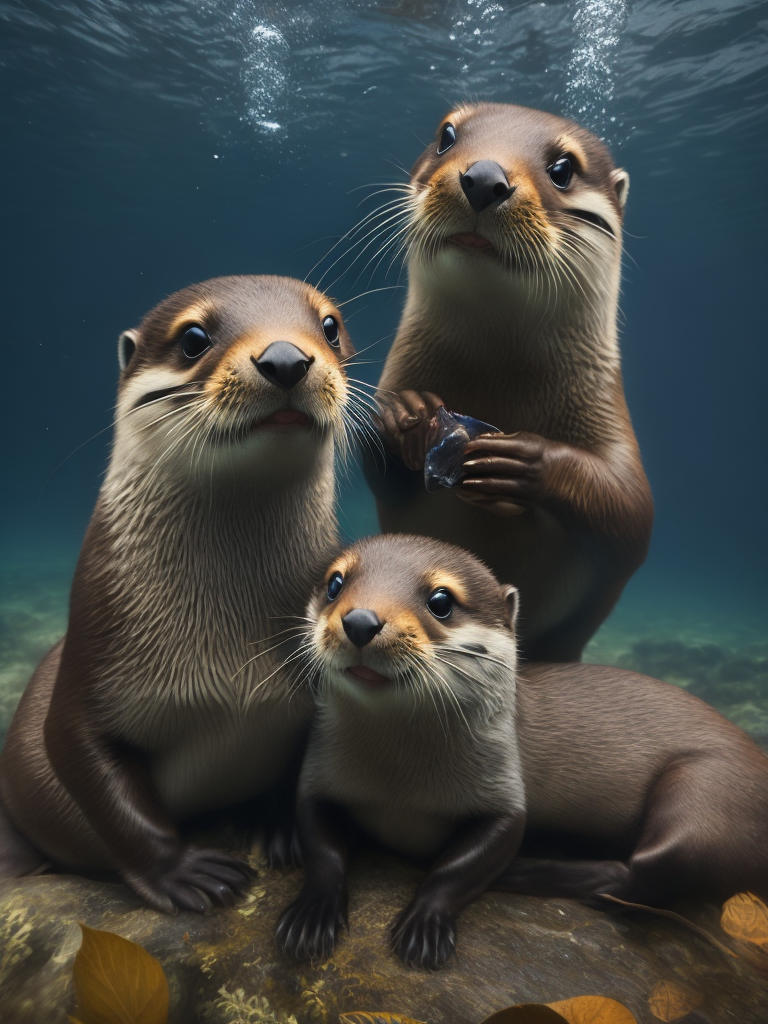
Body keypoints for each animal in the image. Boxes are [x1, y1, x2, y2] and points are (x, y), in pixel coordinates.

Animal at [0, 275, 357, 914]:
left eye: (330, 326)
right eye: (193, 338)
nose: (285, 358)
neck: (226, 660)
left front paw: (280, 830)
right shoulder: (84, 685)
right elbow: (100, 784)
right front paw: (185, 873)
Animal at [275, 535, 768, 968]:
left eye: (441, 600)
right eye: (335, 583)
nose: (360, 620)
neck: (396, 783)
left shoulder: (503, 794)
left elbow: (463, 865)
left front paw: (424, 927)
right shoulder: (316, 776)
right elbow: (322, 848)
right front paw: (309, 919)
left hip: (704, 791)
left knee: (642, 875)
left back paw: (527, 870)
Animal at [366, 103, 654, 662]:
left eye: (563, 168)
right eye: (446, 135)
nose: (483, 177)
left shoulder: (610, 418)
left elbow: (631, 514)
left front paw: (520, 460)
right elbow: (374, 461)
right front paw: (407, 416)